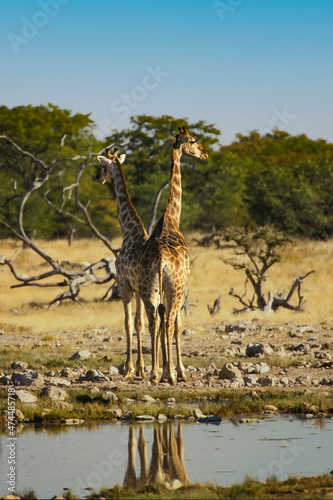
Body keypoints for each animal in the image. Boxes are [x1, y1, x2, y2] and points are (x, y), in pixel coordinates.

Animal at [137, 127, 208, 384]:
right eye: (194, 141)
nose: (205, 154)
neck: (171, 218)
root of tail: (160, 261)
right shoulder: (183, 285)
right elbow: (178, 324)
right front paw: (179, 371)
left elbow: (160, 321)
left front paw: (165, 368)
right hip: (174, 288)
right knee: (168, 322)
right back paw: (170, 375)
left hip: (148, 287)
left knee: (153, 320)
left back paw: (154, 374)